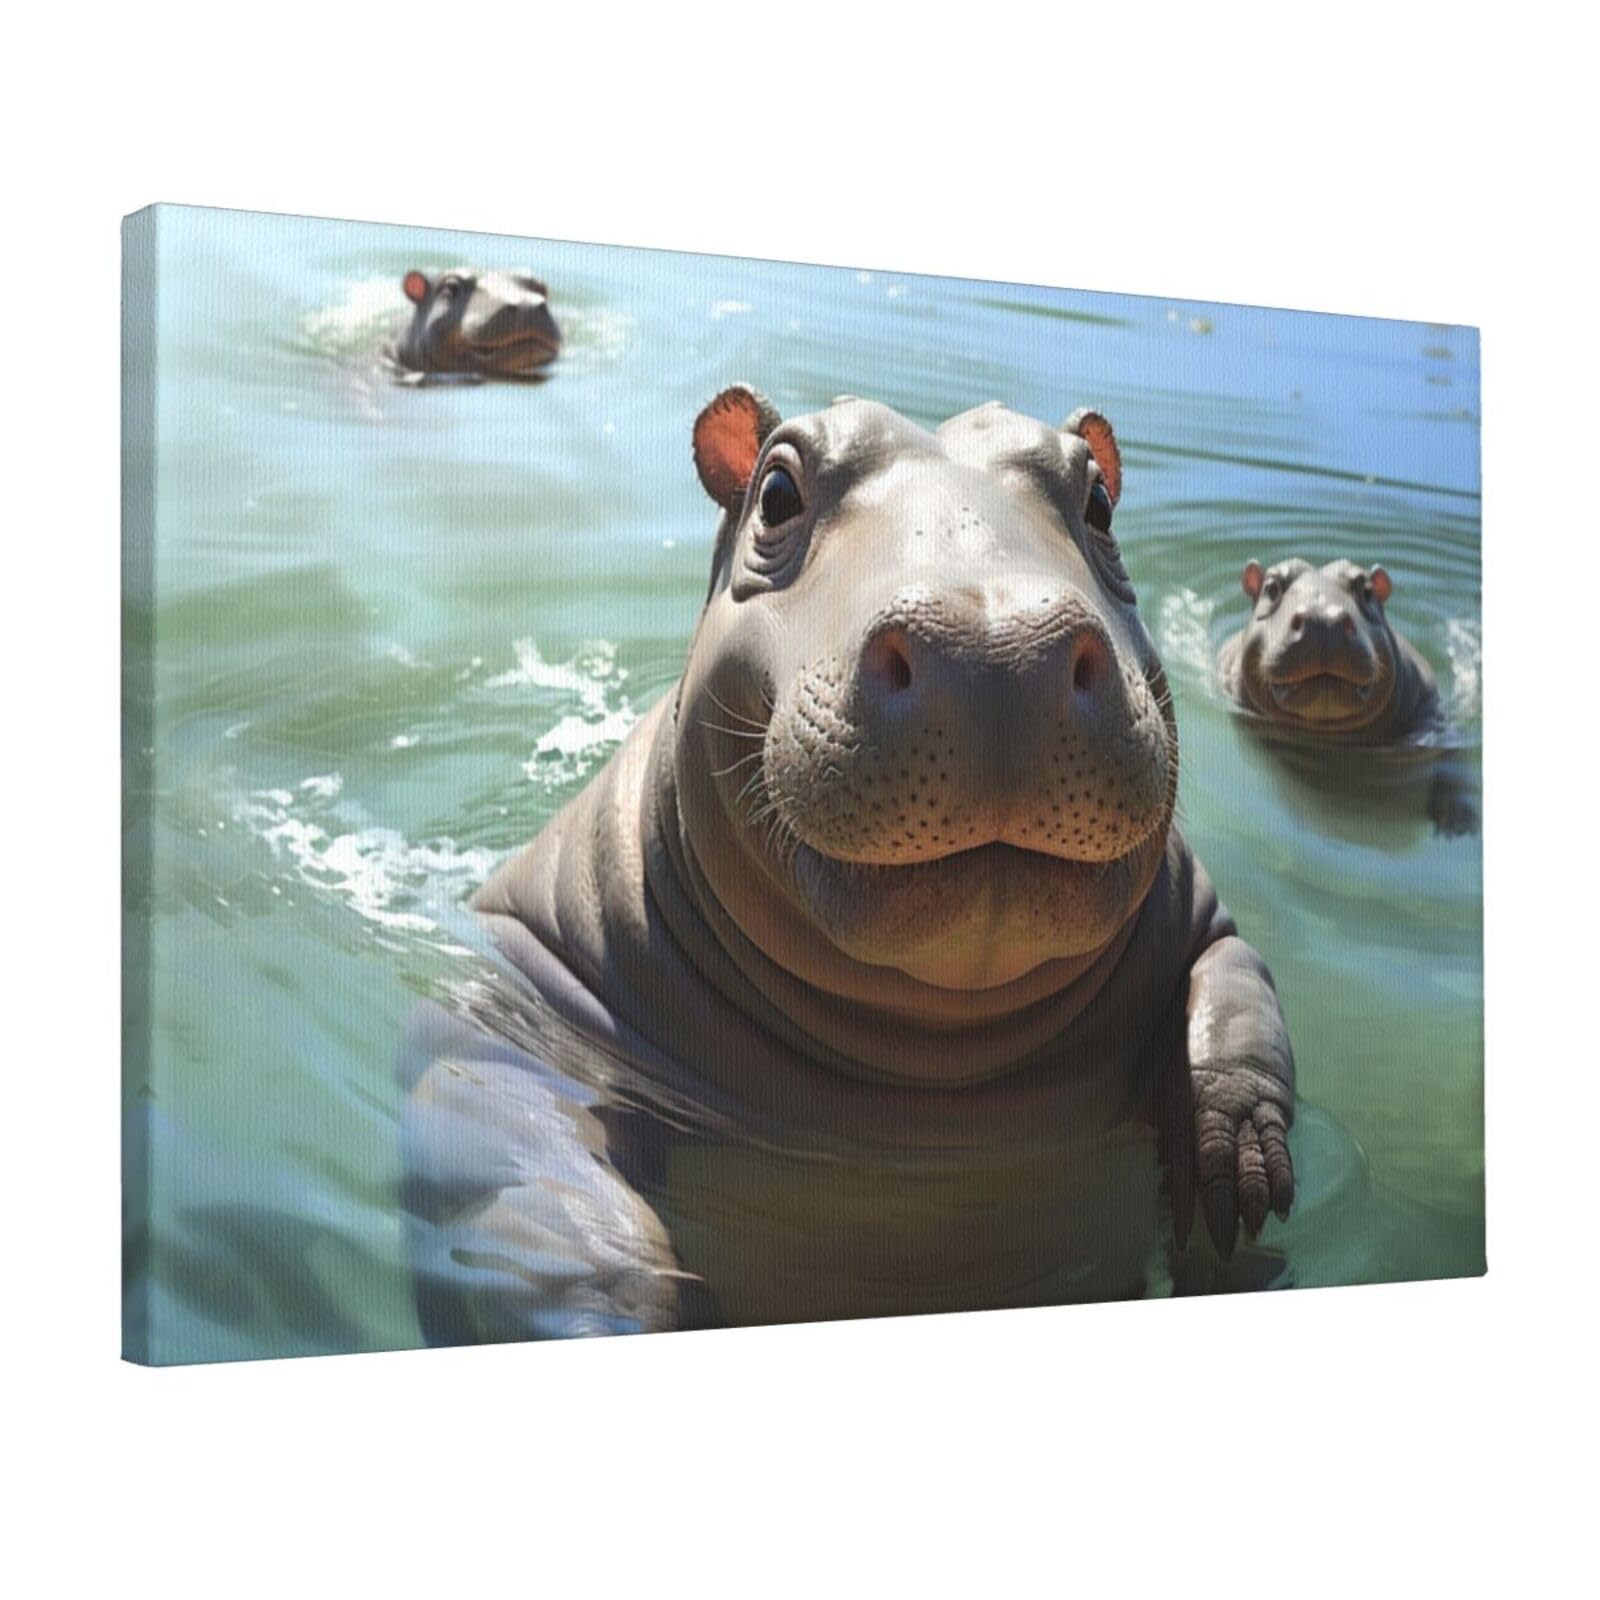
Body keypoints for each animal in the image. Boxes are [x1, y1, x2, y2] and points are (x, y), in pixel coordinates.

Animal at [401, 389, 1296, 1342]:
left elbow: (1236, 995)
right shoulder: (511, 989)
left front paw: (1241, 1170)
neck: (935, 1065)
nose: (1001, 650)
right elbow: (520, 1164)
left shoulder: (1206, 922)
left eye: (1099, 505)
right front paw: (619, 1308)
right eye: (777, 493)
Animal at [1216, 557, 1478, 835]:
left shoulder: (1435, 720)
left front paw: (1458, 823)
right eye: (1271, 587)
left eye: (1367, 591)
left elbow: (1453, 759)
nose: (1323, 620)